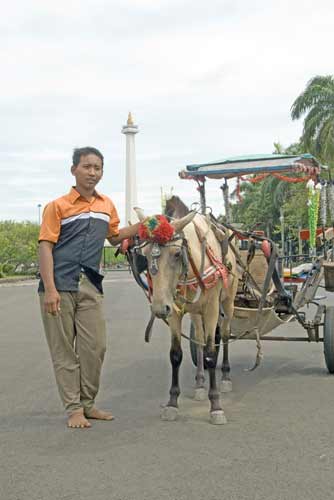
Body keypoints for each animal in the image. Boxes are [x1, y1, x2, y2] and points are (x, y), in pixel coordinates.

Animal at [134, 197, 239, 424]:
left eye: (176, 254)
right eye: (144, 255)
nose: (158, 308)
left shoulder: (212, 308)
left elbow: (211, 354)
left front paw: (215, 405)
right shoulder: (174, 310)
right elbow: (176, 354)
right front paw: (172, 403)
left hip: (228, 301)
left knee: (225, 334)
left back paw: (226, 377)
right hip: (194, 311)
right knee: (198, 339)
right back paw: (200, 383)